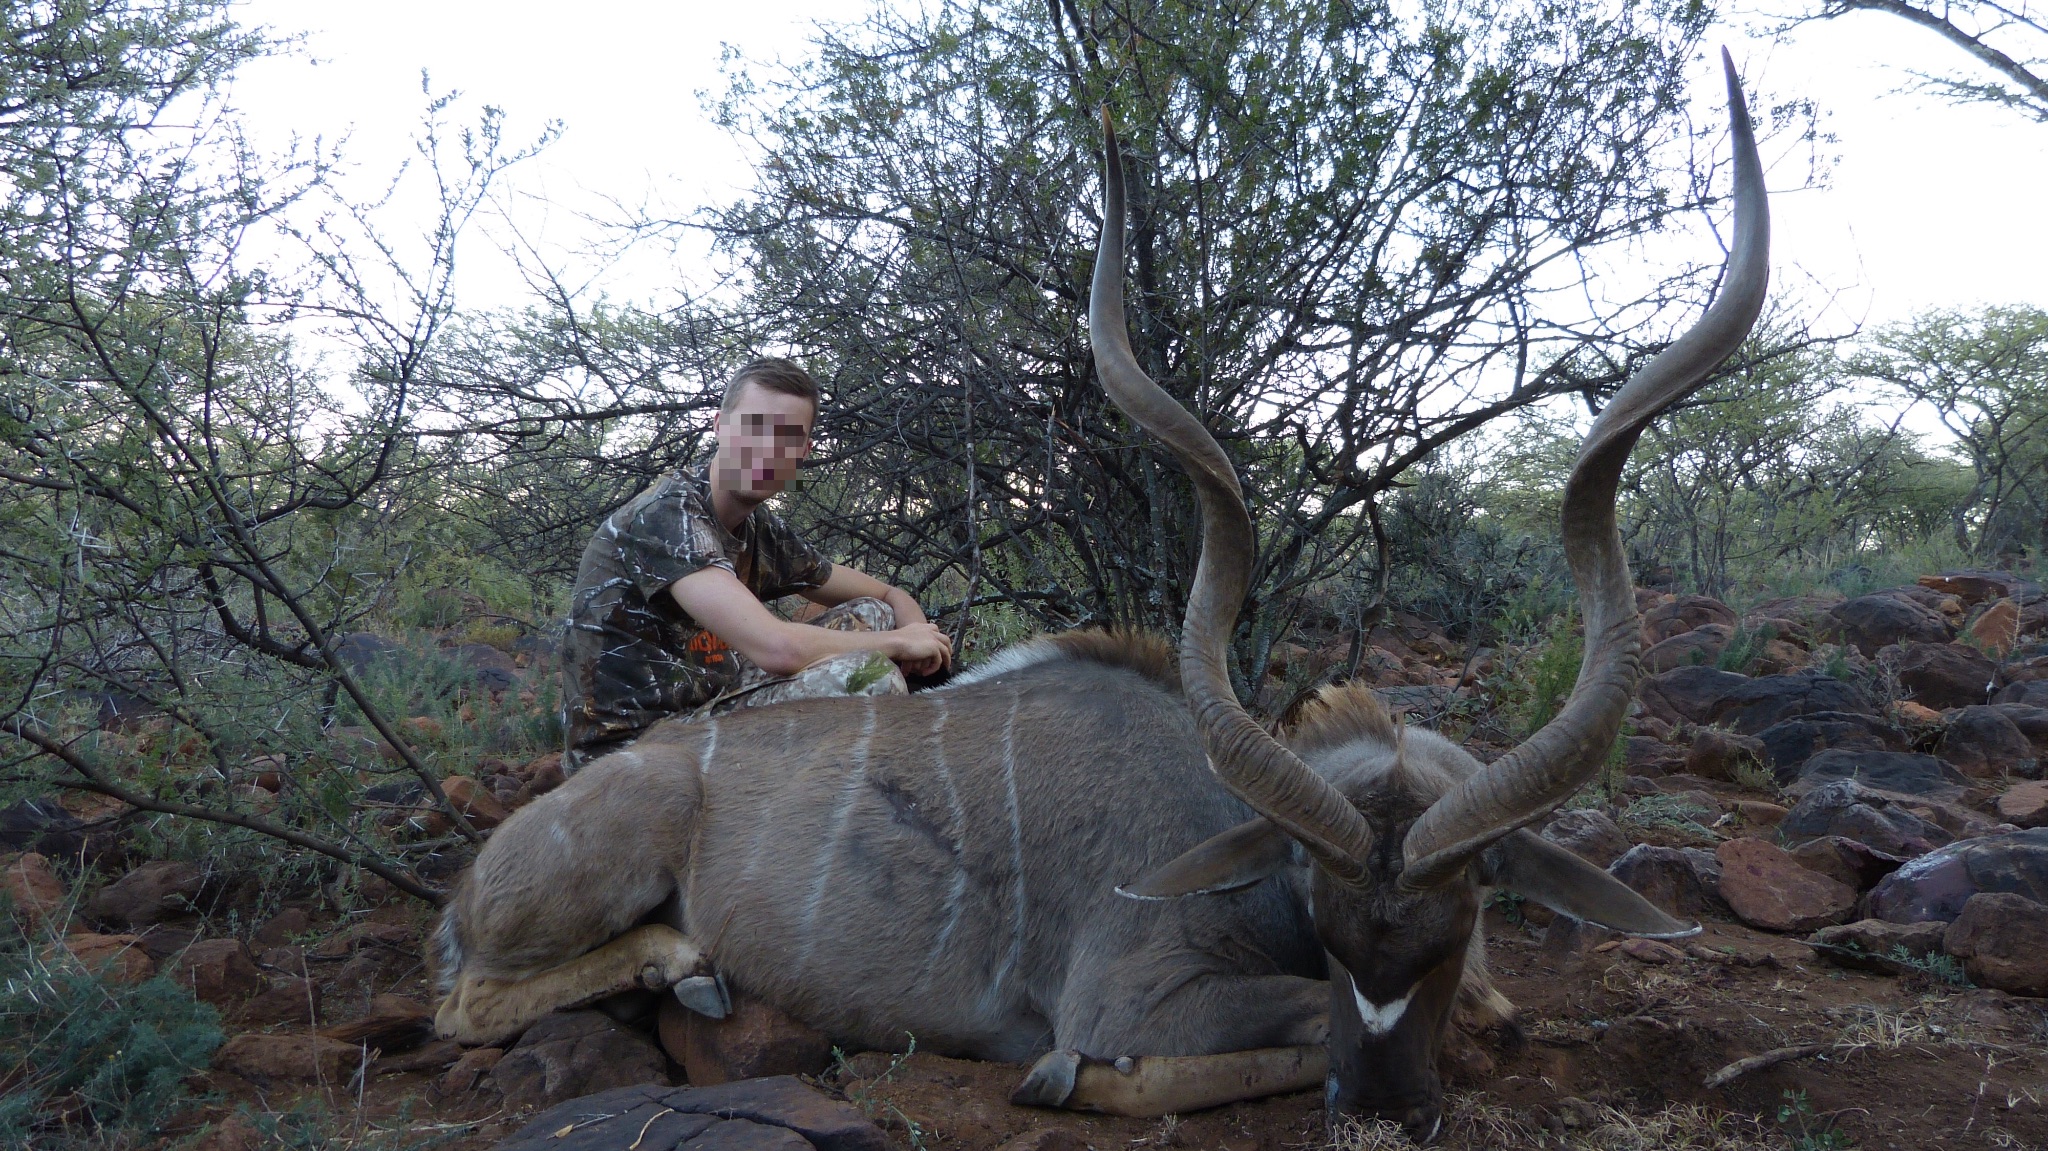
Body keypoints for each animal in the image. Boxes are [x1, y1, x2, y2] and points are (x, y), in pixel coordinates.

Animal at [432, 52, 1767, 1143]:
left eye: (1448, 933)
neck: (1221, 823)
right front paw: (1068, 1077)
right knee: (463, 1001)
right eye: (1329, 927)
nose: (1381, 1111)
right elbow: (1229, 1035)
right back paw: (684, 965)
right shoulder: (1135, 991)